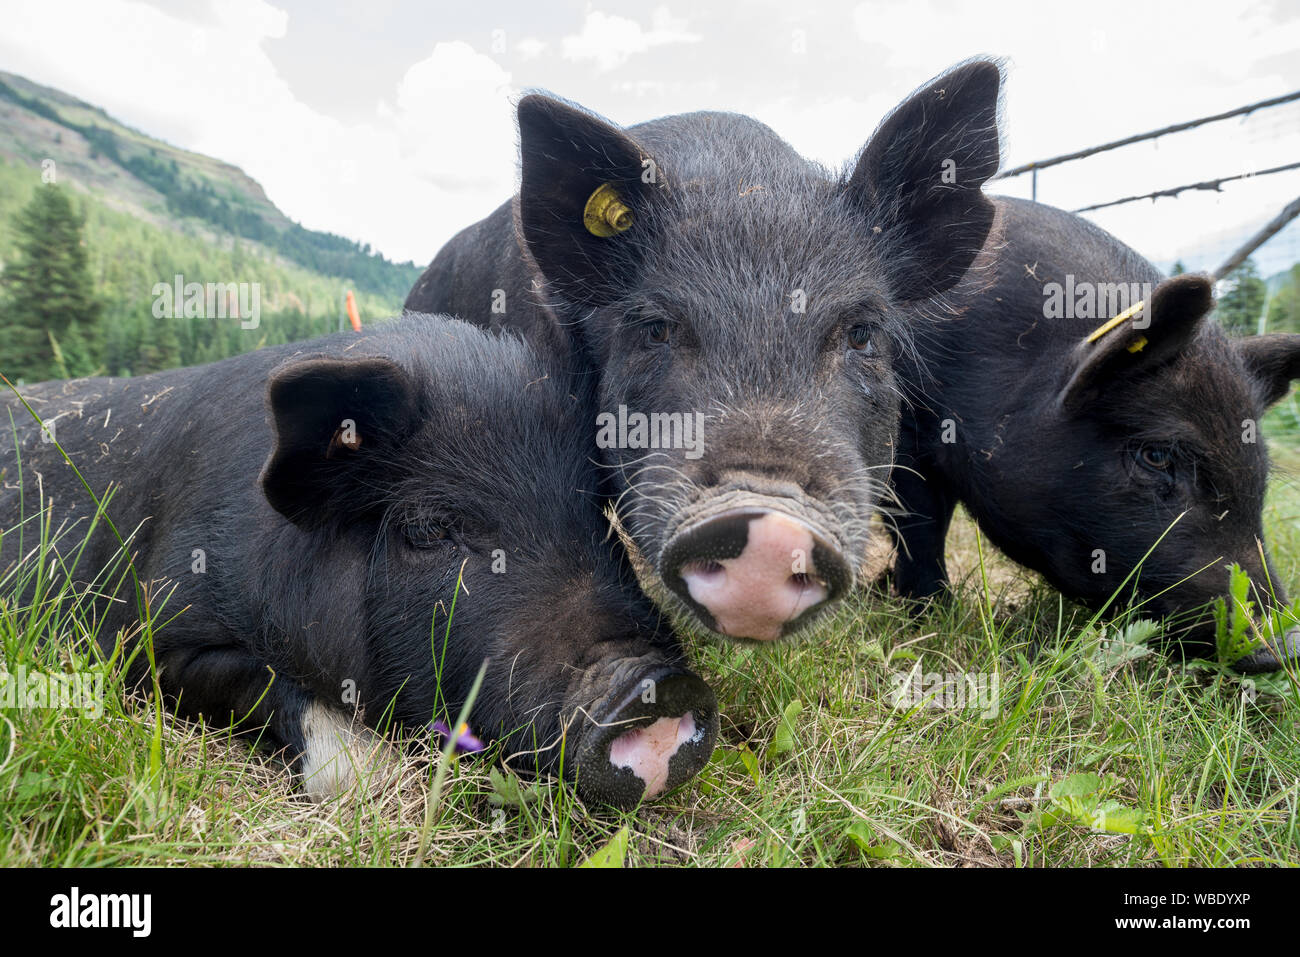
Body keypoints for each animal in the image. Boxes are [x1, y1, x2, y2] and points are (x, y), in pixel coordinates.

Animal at [889, 197, 1300, 670]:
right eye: (1156, 455)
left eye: (1260, 470)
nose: (1286, 646)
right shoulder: (907, 428)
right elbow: (921, 524)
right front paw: (929, 613)